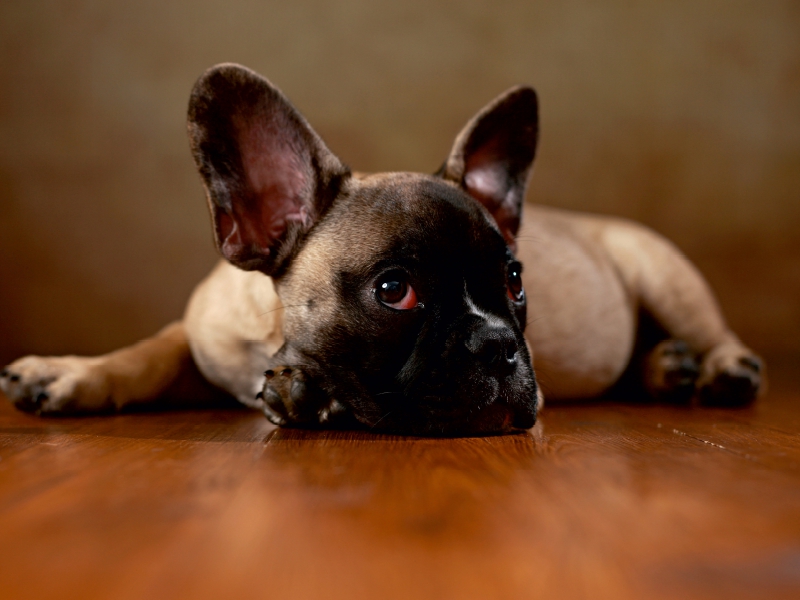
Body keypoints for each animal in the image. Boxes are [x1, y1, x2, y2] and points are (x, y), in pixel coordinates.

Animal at [0, 63, 764, 434]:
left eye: (516, 281)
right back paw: (669, 368)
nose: (500, 344)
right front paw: (71, 373)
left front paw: (309, 400)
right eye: (395, 291)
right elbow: (150, 354)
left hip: (663, 271)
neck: (280, 339)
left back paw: (717, 369)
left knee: (713, 329)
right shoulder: (199, 338)